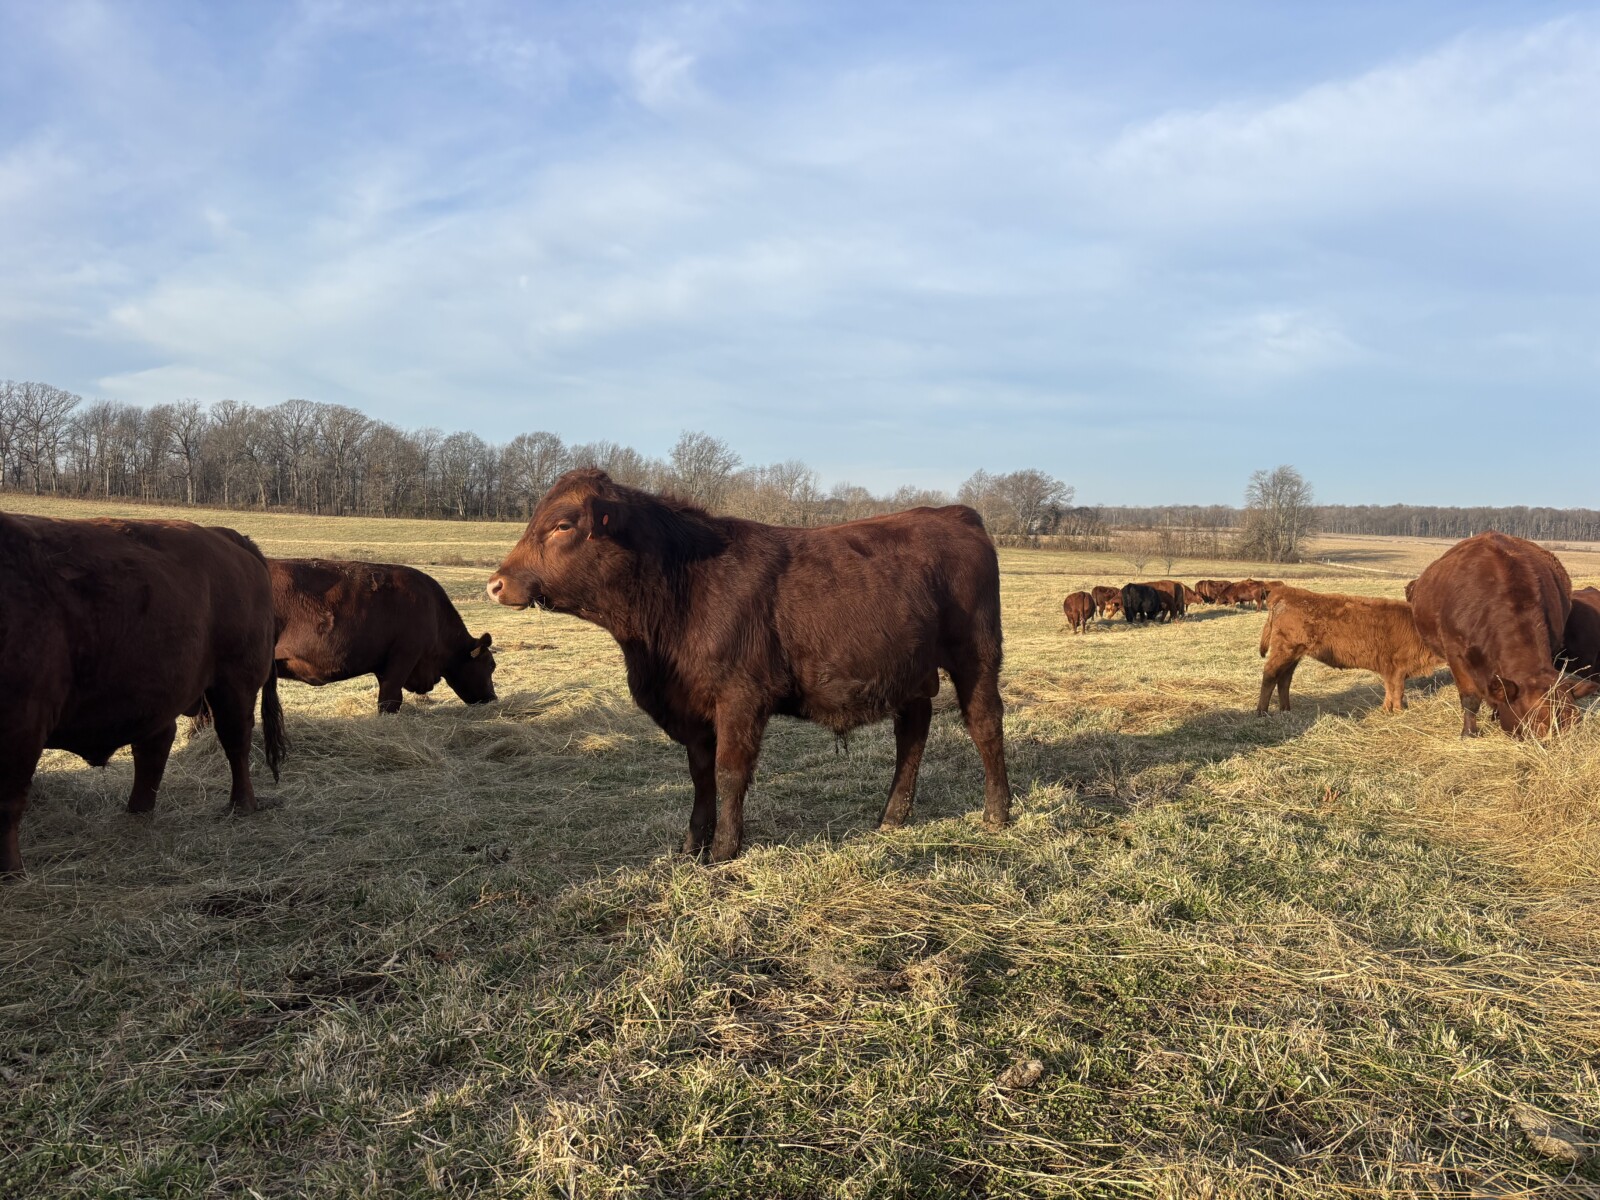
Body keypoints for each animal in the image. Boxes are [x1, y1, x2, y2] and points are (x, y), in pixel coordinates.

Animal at [0, 514, 286, 876]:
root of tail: (230, 538)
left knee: (236, 742)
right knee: (156, 744)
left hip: (233, 686)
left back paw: (242, 805)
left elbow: (7, 798)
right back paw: (138, 810)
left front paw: (9, 871)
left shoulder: (23, 720)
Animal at [486, 469, 1011, 862]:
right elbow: (700, 776)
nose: (495, 584)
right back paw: (892, 818)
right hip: (909, 671)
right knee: (912, 734)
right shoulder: (692, 708)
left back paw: (997, 814)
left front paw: (723, 850)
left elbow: (729, 772)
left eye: (562, 525)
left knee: (985, 723)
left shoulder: (740, 697)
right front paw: (692, 845)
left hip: (977, 653)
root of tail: (954, 513)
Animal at [1257, 586, 1444, 715]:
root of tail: (1285, 593)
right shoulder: (1397, 668)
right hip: (1284, 651)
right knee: (1270, 674)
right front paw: (1399, 712)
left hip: (1294, 655)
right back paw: (1262, 712)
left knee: (1284, 679)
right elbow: (1397, 691)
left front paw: (1386, 710)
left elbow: (1390, 690)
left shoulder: (1390, 670)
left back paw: (1286, 710)